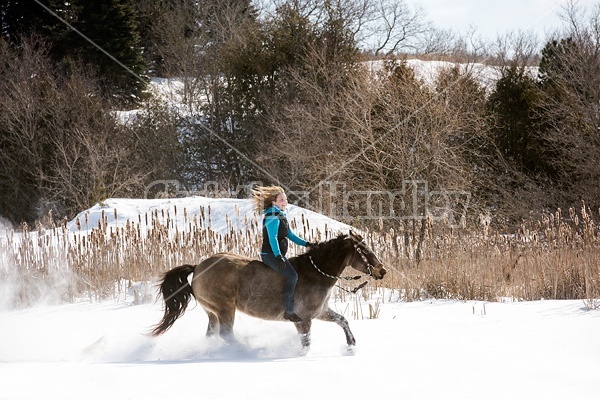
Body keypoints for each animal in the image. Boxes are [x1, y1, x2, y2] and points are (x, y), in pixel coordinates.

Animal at [152, 230, 386, 348]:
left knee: (211, 335)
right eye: (365, 251)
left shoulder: (320, 312)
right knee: (226, 334)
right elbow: (306, 342)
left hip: (212, 312)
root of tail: (198, 266)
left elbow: (342, 320)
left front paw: (351, 344)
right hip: (225, 309)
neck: (316, 273)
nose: (382, 271)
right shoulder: (304, 319)